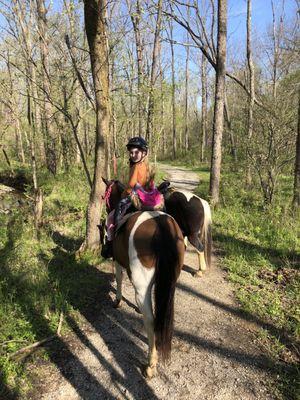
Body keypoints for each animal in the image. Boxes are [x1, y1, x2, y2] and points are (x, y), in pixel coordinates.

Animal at [101, 179, 185, 378]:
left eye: (105, 194)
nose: (107, 209)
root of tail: (161, 226)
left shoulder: (118, 262)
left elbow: (119, 279)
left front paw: (117, 301)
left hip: (142, 284)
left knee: (151, 320)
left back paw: (150, 364)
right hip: (170, 281)